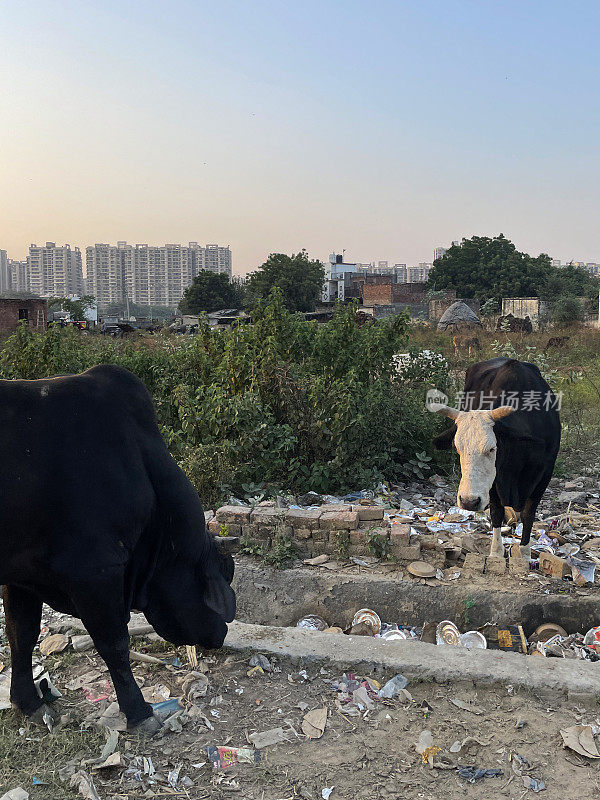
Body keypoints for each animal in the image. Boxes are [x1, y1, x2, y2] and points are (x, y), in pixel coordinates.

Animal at [1, 366, 236, 736]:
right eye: (226, 573)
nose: (220, 634)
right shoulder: (95, 573)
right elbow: (115, 645)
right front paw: (139, 712)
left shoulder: (21, 574)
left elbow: (21, 635)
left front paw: (28, 702)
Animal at [428, 356, 560, 564]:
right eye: (457, 448)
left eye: (491, 448)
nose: (468, 501)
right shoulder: (494, 483)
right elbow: (497, 512)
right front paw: (496, 552)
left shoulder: (545, 474)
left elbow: (529, 514)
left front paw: (525, 553)